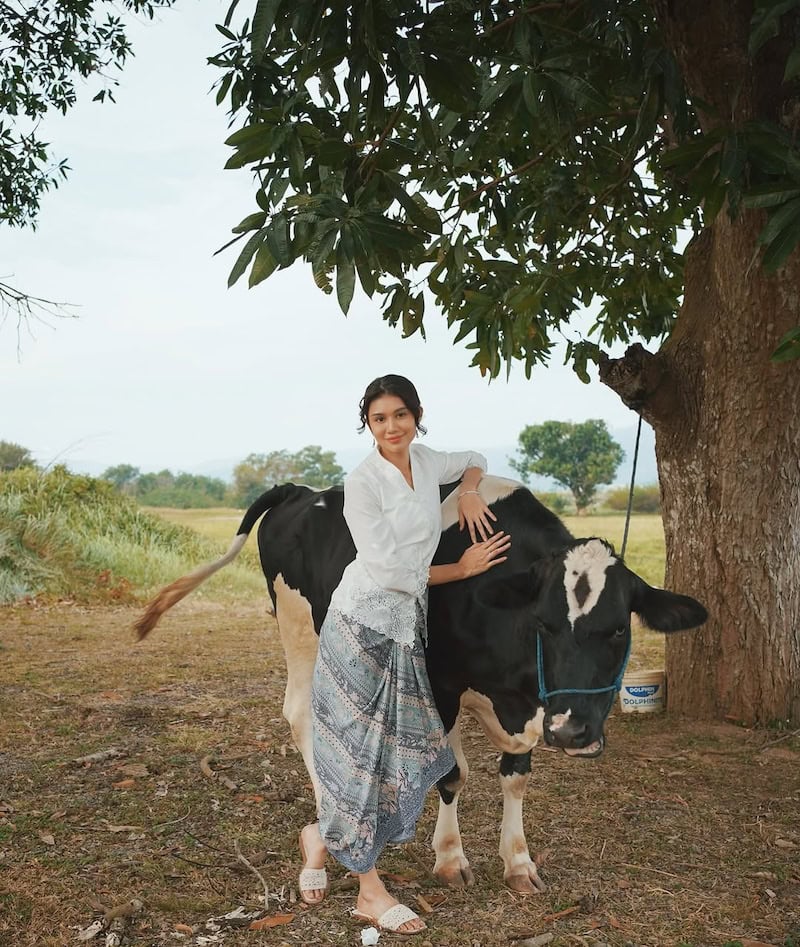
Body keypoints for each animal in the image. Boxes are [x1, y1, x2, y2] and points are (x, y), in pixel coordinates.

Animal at [138, 478, 708, 892]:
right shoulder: (441, 683)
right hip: (298, 626)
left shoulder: (526, 707)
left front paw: (518, 863)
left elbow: (515, 777)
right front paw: (451, 859)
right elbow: (453, 773)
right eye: (544, 623)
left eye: (619, 629)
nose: (572, 733)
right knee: (301, 714)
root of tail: (299, 490)